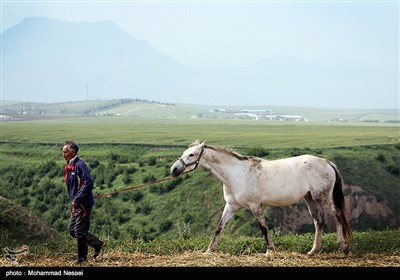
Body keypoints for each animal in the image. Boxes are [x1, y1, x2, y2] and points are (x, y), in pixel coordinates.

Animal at [170, 140, 352, 256]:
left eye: (192, 155)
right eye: (185, 153)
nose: (174, 169)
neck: (236, 174)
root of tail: (327, 162)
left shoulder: (255, 206)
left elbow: (263, 228)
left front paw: (270, 250)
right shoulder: (231, 207)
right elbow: (219, 228)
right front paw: (208, 251)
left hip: (323, 198)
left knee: (337, 216)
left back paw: (343, 247)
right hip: (310, 199)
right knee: (318, 221)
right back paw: (313, 251)